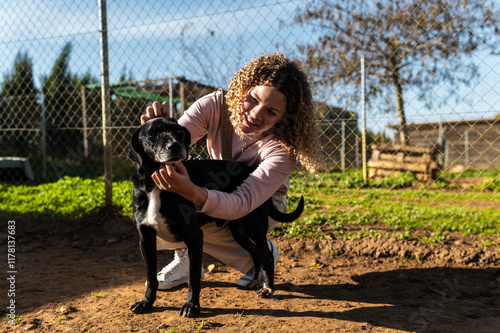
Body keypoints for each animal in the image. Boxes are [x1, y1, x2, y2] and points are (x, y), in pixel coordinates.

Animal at [127, 116, 302, 316]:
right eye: (153, 133)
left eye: (178, 132)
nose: (175, 146)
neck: (155, 185)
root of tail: (251, 170)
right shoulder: (146, 238)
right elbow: (150, 276)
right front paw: (146, 302)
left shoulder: (195, 236)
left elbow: (194, 277)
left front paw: (191, 306)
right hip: (239, 231)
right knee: (255, 254)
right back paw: (255, 281)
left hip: (254, 227)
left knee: (266, 256)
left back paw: (268, 288)